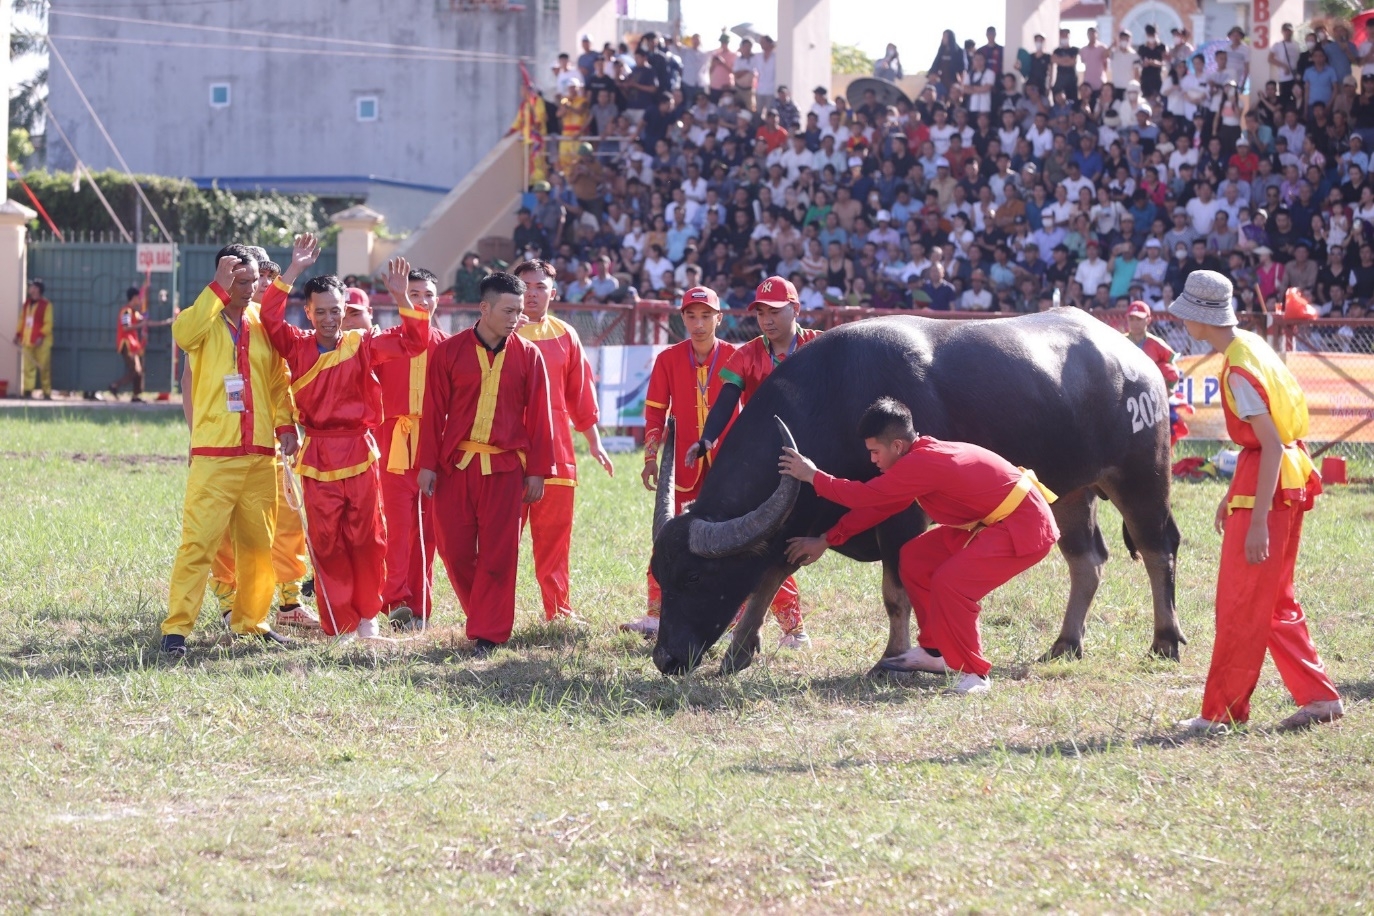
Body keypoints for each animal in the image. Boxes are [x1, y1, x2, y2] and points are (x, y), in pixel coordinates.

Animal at [648, 311, 1187, 678]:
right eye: (658, 574)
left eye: (694, 577)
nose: (666, 658)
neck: (832, 399)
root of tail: (1136, 360)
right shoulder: (797, 517)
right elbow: (767, 577)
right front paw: (738, 651)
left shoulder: (900, 514)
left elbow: (895, 591)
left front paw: (891, 656)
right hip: (1073, 490)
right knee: (1087, 560)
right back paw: (1065, 644)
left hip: (1142, 475)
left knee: (1158, 549)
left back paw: (1164, 641)